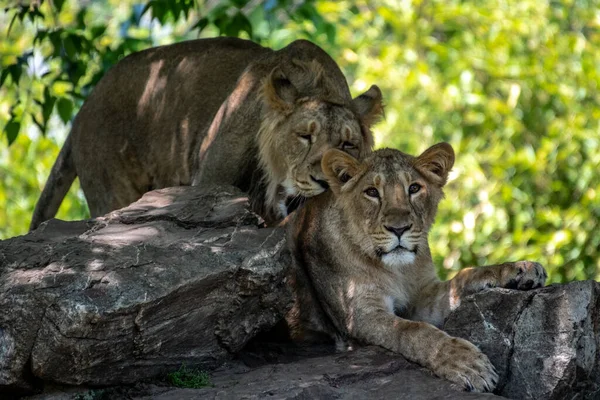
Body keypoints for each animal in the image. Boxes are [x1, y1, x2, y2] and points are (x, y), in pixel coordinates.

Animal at [30, 37, 382, 231]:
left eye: (348, 144)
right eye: (304, 137)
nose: (325, 181)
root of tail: (84, 108)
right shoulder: (209, 182)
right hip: (110, 188)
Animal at [286, 143, 548, 390]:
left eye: (413, 188)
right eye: (371, 192)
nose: (399, 228)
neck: (397, 270)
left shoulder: (421, 294)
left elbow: (463, 278)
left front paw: (520, 269)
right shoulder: (358, 317)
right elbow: (413, 331)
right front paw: (467, 364)